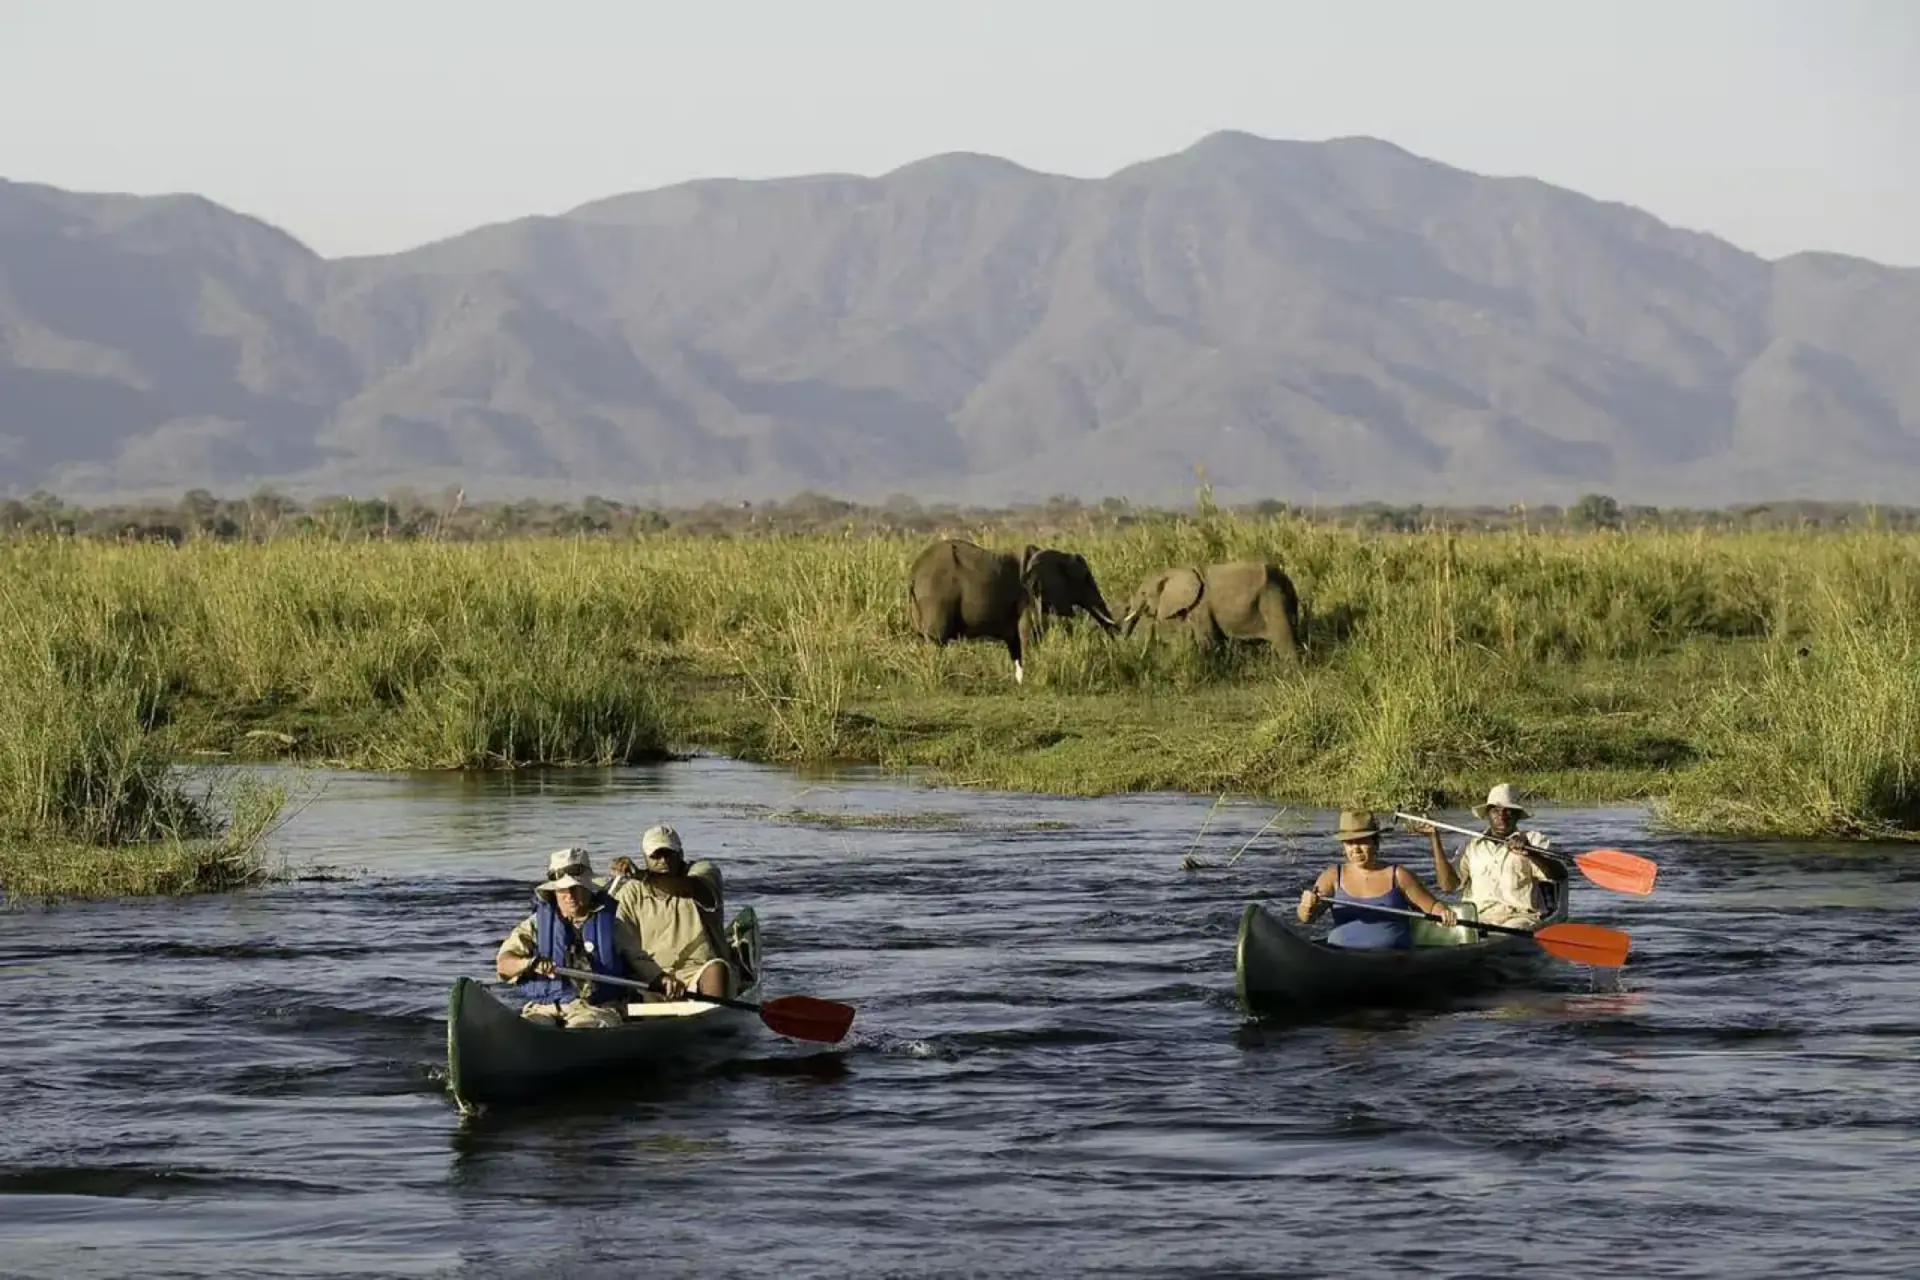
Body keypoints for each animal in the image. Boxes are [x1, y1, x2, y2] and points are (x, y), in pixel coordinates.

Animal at [907, 539, 1118, 683]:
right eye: (1085, 579)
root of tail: (914, 573)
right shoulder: (1029, 598)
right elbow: (1029, 637)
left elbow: (1016, 644)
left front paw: (1020, 683)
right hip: (935, 598)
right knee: (936, 643)